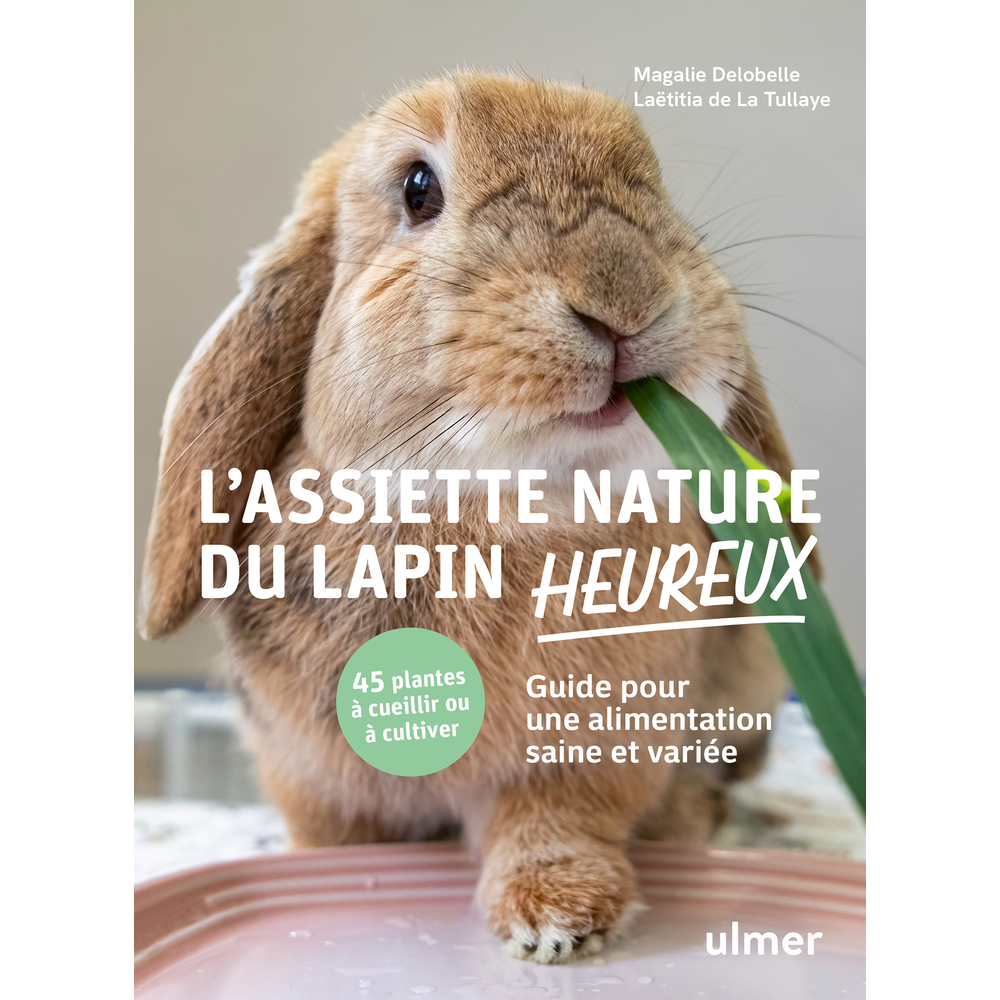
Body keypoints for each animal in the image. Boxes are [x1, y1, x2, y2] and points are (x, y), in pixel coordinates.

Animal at [140, 72, 813, 965]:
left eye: (654, 178)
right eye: (418, 188)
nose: (623, 294)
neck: (492, 513)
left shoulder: (586, 757)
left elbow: (556, 825)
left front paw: (560, 921)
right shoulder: (309, 777)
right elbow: (330, 841)